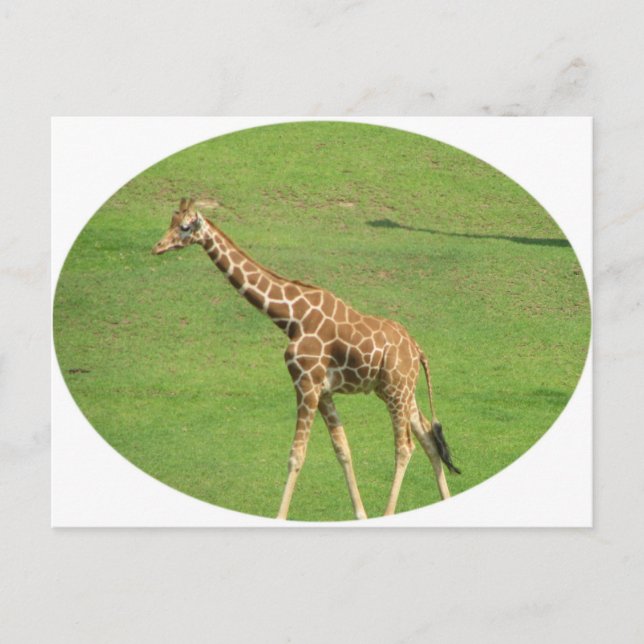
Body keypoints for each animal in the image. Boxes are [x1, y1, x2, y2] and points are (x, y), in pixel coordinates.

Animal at [153, 198, 460, 520]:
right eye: (171, 220)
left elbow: (296, 455)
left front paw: (280, 516)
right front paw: (360, 514)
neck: (291, 318)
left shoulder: (306, 382)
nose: (157, 246)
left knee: (405, 446)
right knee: (429, 439)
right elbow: (343, 450)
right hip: (398, 390)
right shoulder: (322, 390)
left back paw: (389, 512)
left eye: (185, 227)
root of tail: (418, 350)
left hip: (396, 390)